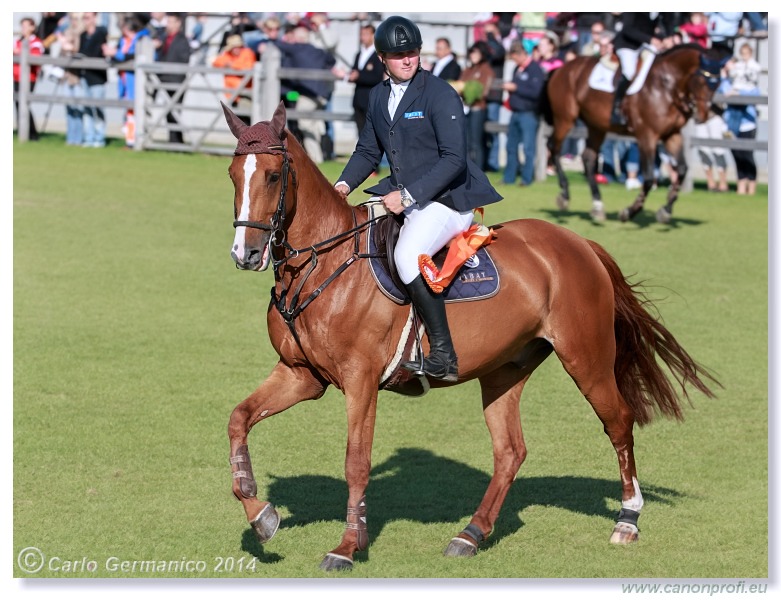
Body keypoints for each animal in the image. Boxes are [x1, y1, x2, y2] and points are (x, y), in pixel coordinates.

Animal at [222, 102, 716, 572]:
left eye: (272, 176)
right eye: (232, 174)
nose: (245, 254)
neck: (321, 262)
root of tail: (578, 243)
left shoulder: (360, 381)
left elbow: (356, 461)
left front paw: (346, 547)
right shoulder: (301, 374)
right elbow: (238, 419)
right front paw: (261, 515)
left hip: (587, 359)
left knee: (619, 423)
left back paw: (627, 520)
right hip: (505, 369)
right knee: (510, 451)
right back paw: (471, 534)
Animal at [544, 43, 720, 224]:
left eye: (717, 83)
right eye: (701, 81)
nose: (704, 116)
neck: (667, 86)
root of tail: (561, 68)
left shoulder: (672, 135)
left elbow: (683, 170)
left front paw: (666, 210)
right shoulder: (647, 136)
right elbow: (648, 178)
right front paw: (630, 211)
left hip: (596, 126)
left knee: (588, 158)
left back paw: (598, 206)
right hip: (565, 118)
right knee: (554, 147)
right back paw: (565, 195)